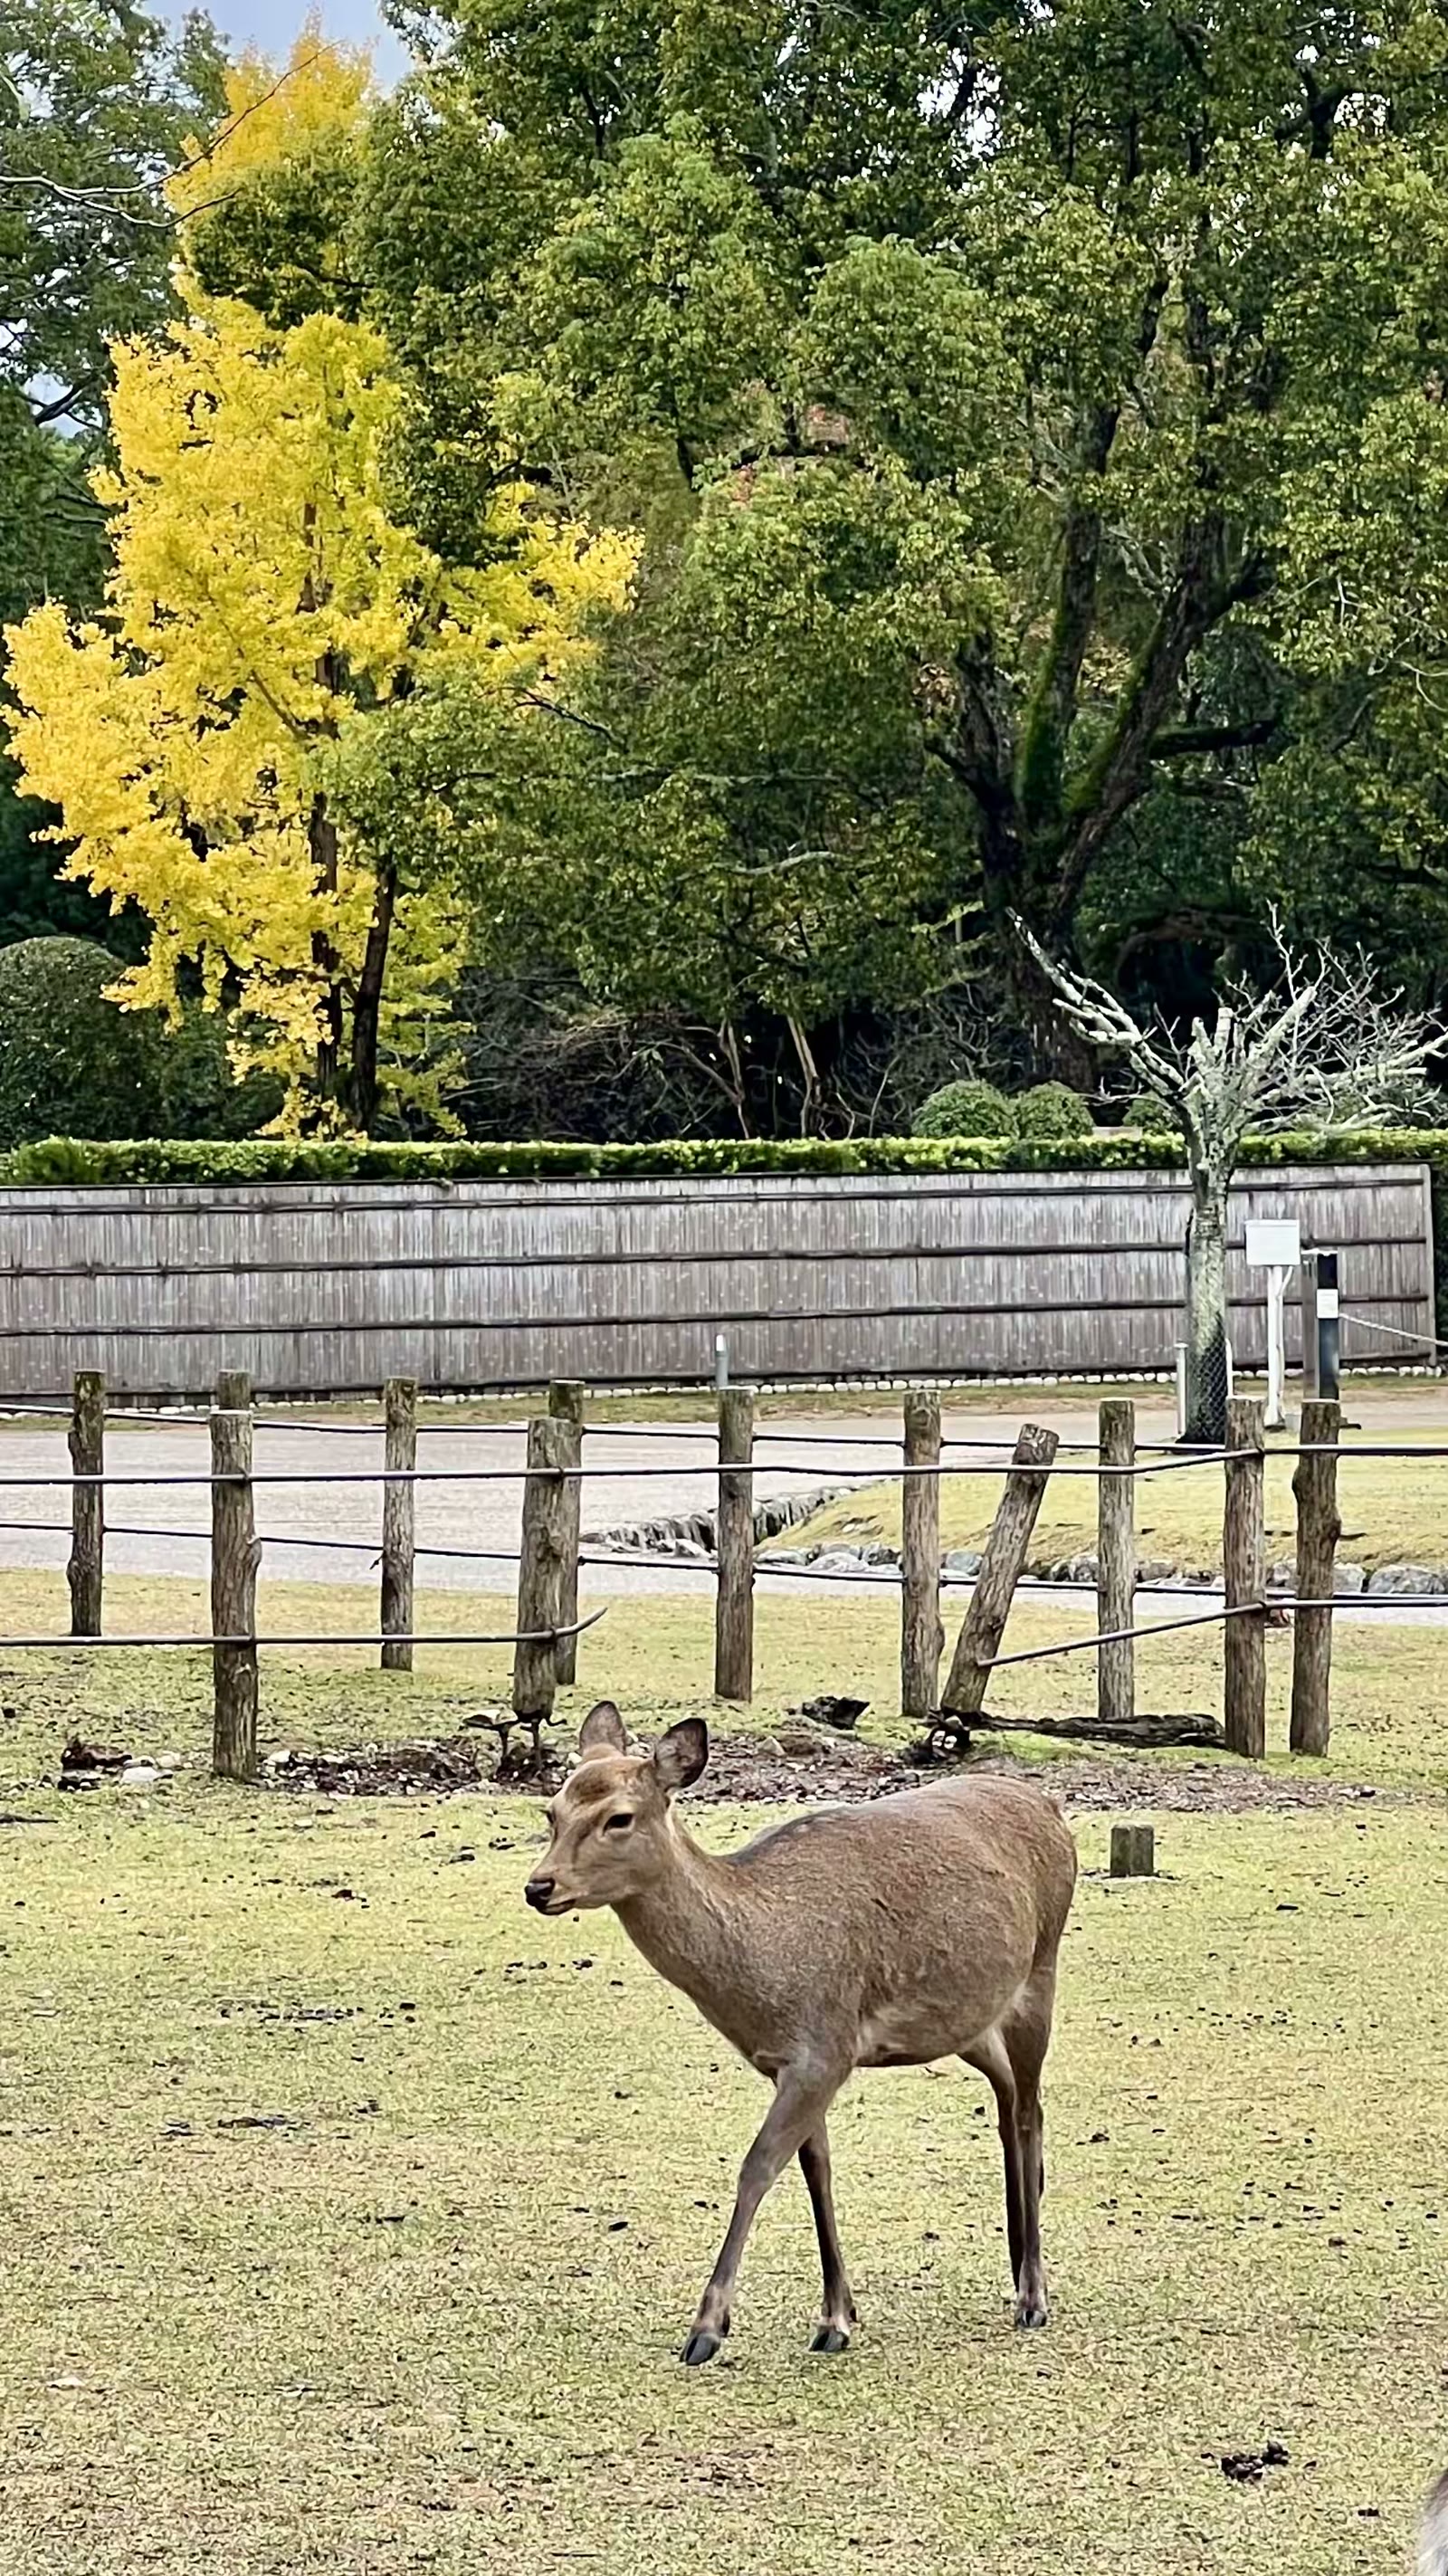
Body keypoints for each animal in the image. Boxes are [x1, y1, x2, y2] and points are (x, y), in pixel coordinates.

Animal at [524, 1701, 1077, 2366]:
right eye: (552, 1810)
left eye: (619, 1817)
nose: (539, 1886)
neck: (762, 1970)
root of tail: (1053, 1809)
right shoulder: (787, 2063)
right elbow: (816, 2168)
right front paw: (838, 2316)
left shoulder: (824, 2050)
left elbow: (759, 2166)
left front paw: (707, 2329)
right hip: (969, 2017)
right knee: (1009, 2098)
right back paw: (1017, 2259)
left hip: (1040, 1974)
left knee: (1029, 2112)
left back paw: (1033, 2294)